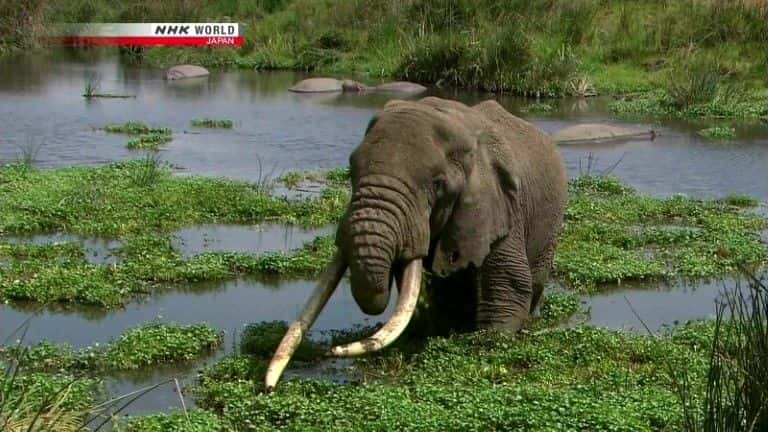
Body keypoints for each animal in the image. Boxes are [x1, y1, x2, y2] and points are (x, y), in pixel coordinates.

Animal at [266, 96, 568, 390]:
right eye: (351, 170)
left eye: (438, 184)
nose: (332, 351)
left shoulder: (500, 207)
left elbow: (508, 285)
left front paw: (489, 342)